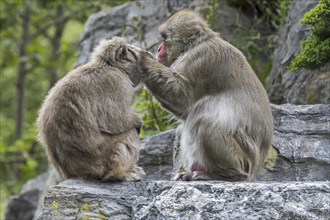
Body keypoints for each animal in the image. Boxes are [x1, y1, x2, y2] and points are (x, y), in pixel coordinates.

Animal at [36, 37, 149, 181]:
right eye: (134, 54)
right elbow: (115, 121)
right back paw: (119, 173)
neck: (109, 66)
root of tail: (75, 173)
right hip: (101, 158)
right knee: (129, 133)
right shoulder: (117, 82)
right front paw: (137, 121)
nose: (147, 54)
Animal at [137, 9, 274, 180]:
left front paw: (143, 61)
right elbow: (184, 110)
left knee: (205, 124)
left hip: (243, 159)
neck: (195, 45)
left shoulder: (201, 61)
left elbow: (183, 98)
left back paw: (226, 175)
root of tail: (254, 169)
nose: (158, 49)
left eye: (165, 38)